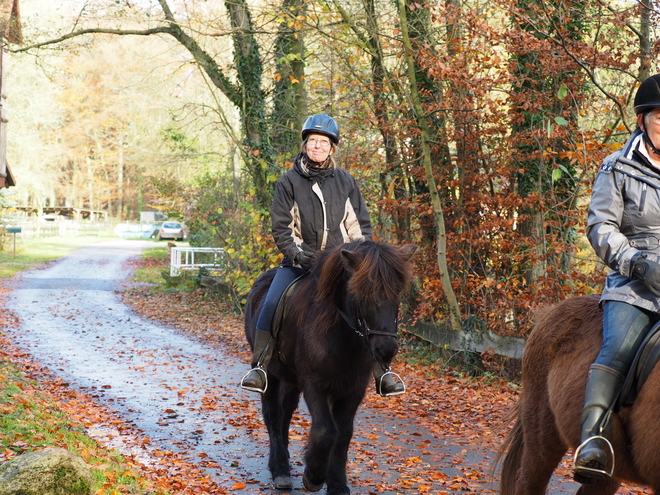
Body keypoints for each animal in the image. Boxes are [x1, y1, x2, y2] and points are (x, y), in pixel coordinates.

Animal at [244, 241, 418, 495]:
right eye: (361, 292)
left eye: (396, 292)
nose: (386, 350)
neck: (341, 336)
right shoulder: (315, 386)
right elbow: (325, 431)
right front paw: (314, 477)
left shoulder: (353, 389)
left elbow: (343, 434)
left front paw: (337, 483)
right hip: (272, 375)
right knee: (273, 415)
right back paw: (280, 470)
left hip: (291, 379)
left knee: (286, 411)